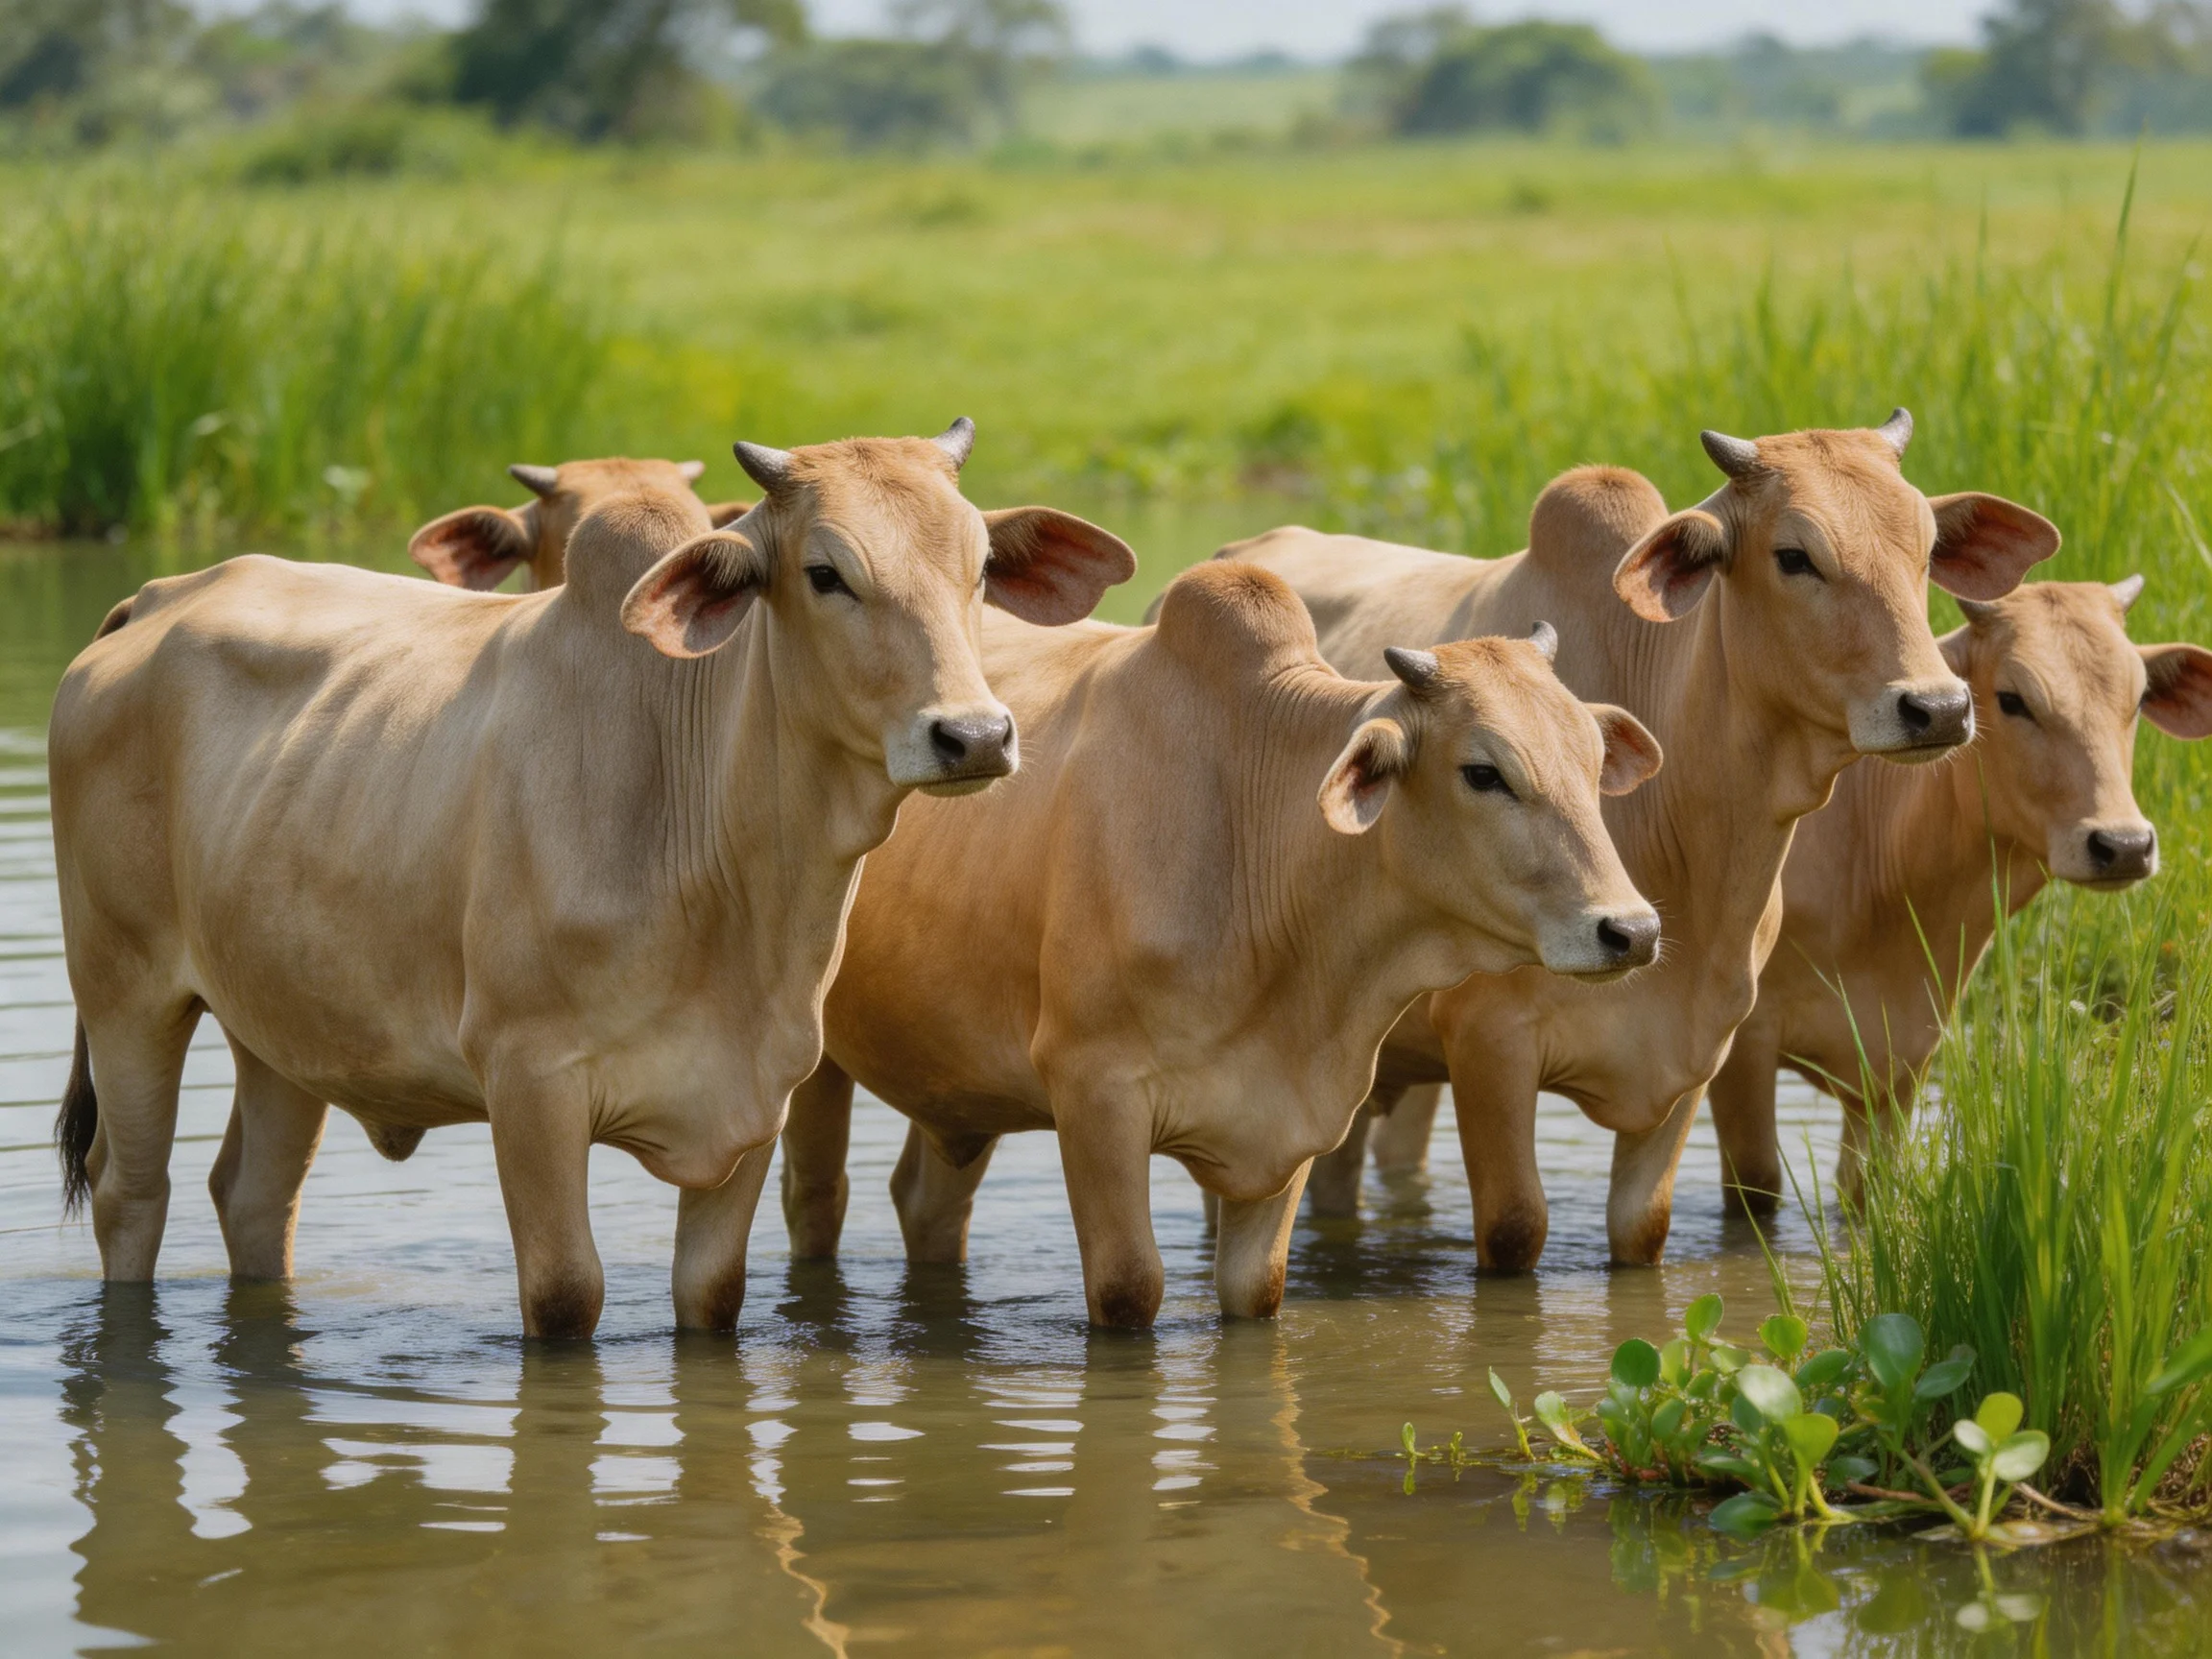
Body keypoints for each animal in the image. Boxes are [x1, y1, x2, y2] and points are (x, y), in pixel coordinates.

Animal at [763, 558, 1664, 1328]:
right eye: (1483, 772)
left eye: (1593, 762)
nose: (1630, 929)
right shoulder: (1093, 1094)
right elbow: (1129, 1288)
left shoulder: (1288, 1132)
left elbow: (1258, 1292)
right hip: (820, 1065)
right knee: (816, 1199)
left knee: (926, 1205)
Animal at [1240, 413, 2056, 1268]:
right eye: (1794, 555)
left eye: (1927, 551)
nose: (1937, 708)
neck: (1692, 848)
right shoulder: (1490, 1046)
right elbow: (1514, 1227)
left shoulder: (1699, 1052)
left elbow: (1644, 1228)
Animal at [1708, 576, 2212, 1211]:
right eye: (2012, 699)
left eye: (2140, 699)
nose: (2122, 844)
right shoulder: (1740, 1046)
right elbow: (1756, 1190)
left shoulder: (1905, 1055)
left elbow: (1866, 1190)